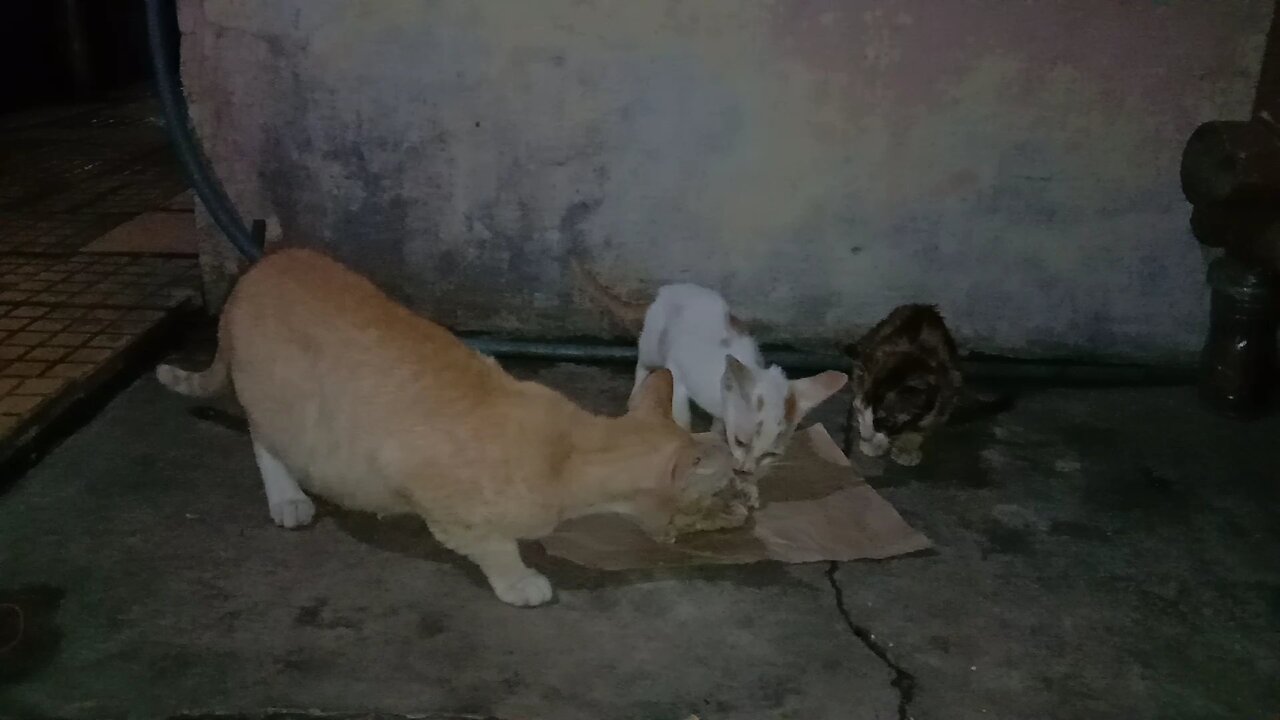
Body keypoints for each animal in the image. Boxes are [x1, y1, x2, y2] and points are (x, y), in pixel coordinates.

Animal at [157, 248, 742, 604]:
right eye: (725, 484)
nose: (740, 488)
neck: (570, 452)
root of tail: (255, 272)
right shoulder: (434, 500)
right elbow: (493, 547)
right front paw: (520, 581)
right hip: (280, 402)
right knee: (264, 440)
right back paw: (287, 497)